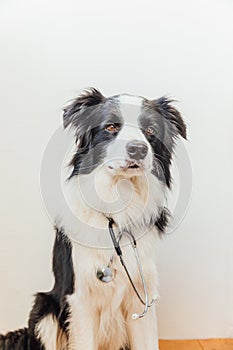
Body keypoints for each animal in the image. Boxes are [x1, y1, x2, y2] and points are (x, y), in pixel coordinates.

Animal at [0, 88, 186, 350]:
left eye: (150, 130)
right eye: (111, 126)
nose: (138, 149)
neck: (118, 209)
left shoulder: (142, 298)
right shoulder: (80, 300)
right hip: (45, 309)